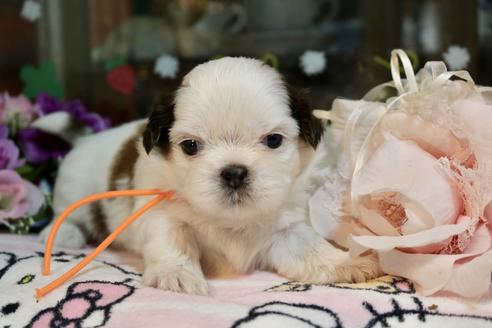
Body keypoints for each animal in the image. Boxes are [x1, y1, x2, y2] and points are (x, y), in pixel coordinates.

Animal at [40, 56, 382, 294]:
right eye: (190, 146)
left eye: (273, 140)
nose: (234, 173)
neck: (229, 220)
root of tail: (85, 139)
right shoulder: (163, 213)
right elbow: (173, 242)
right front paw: (175, 274)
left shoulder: (286, 228)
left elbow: (310, 250)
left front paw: (347, 261)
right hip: (74, 190)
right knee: (66, 214)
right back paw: (61, 234)